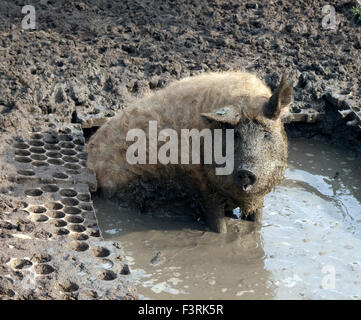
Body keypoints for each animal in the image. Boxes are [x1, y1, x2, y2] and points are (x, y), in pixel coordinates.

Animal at [86, 72, 294, 232]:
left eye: (266, 134)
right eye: (234, 134)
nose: (246, 171)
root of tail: (89, 157)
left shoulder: (259, 196)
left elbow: (257, 222)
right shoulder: (203, 189)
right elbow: (219, 226)